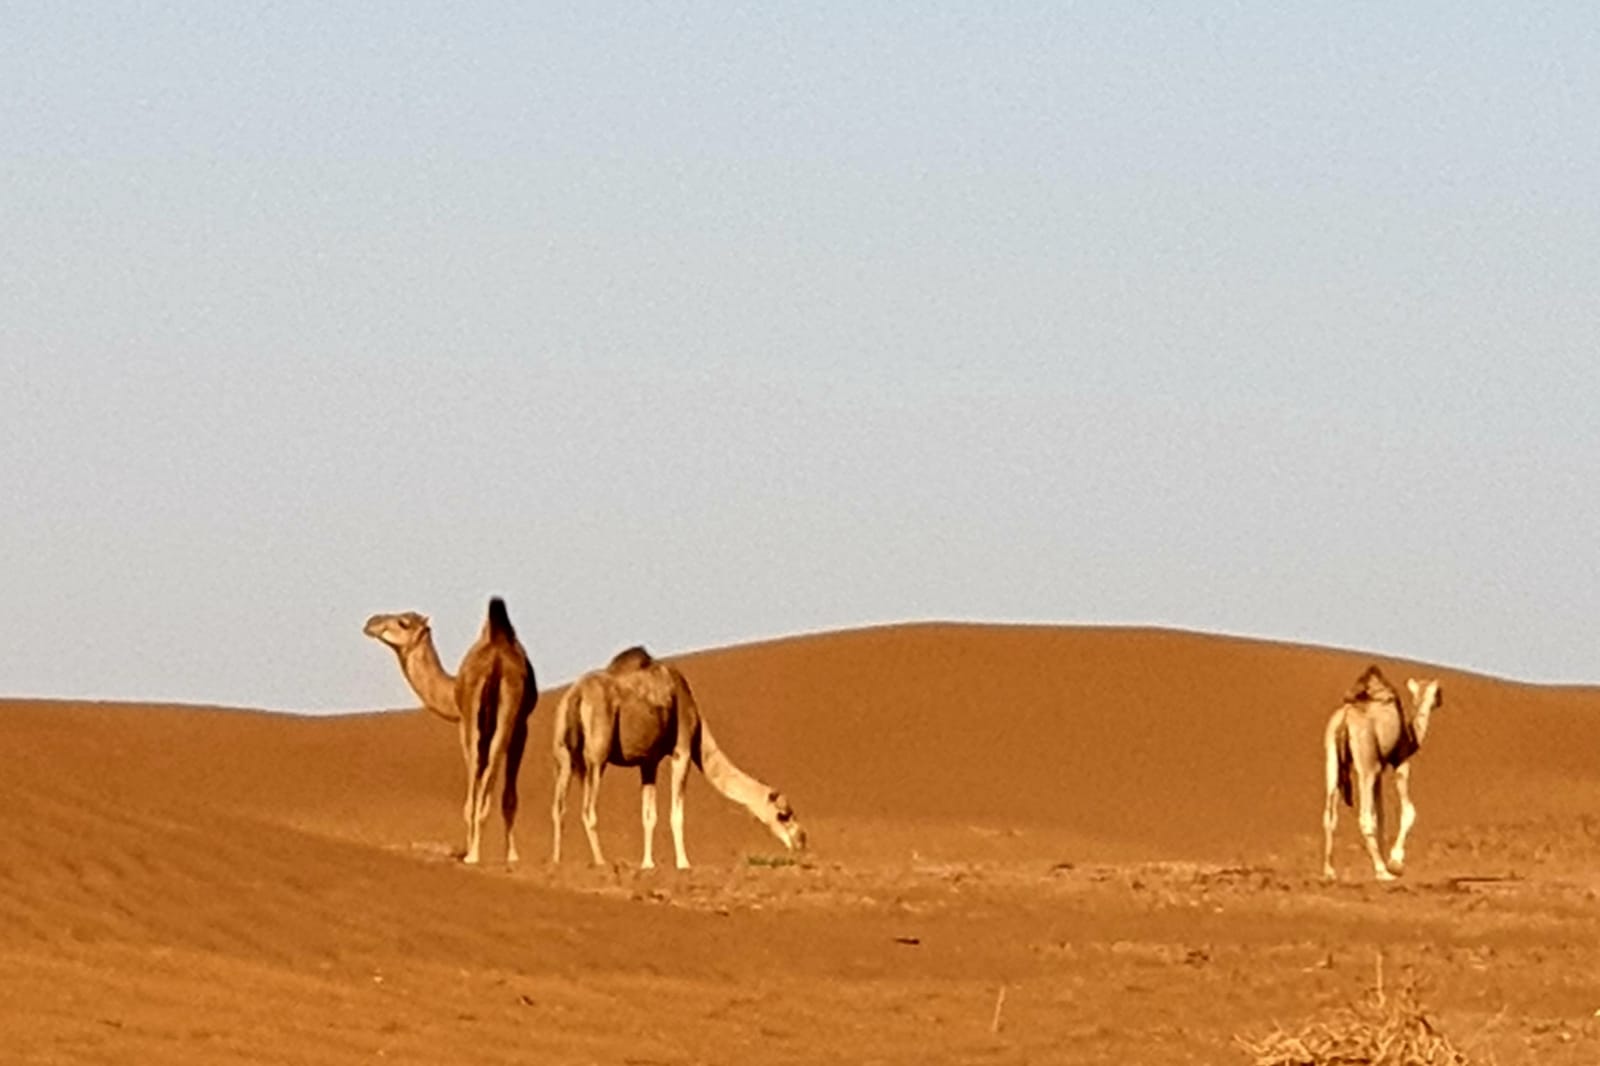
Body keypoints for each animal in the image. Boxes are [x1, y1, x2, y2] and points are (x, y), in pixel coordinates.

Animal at [553, 643, 806, 870]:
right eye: (783, 815)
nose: (801, 841)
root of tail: (575, 695)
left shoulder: (648, 761)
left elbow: (649, 815)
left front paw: (648, 864)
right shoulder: (681, 750)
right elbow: (677, 814)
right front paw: (684, 863)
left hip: (563, 753)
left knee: (558, 806)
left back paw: (556, 860)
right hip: (598, 753)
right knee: (588, 809)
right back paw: (600, 861)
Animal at [1318, 665, 1446, 877]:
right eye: (1438, 692)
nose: (1441, 701)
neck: (1411, 737)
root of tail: (1344, 719)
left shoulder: (1379, 770)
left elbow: (1380, 816)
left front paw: (1387, 858)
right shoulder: (1400, 761)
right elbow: (1408, 811)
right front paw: (1395, 862)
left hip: (1333, 761)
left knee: (1330, 815)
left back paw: (1329, 871)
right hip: (1365, 765)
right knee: (1364, 817)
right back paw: (1381, 871)